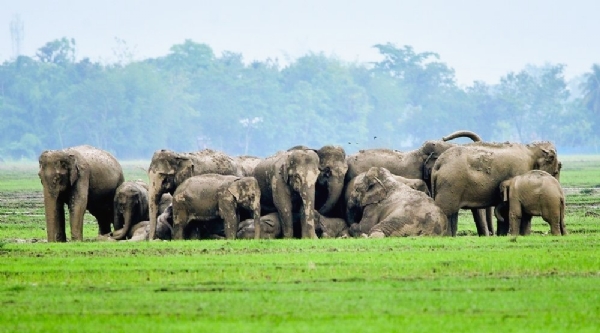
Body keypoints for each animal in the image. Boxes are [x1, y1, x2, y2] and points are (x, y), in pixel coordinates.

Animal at [428, 140, 560, 236]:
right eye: (556, 171)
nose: (492, 234)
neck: (531, 149)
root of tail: (439, 163)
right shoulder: (520, 171)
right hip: (450, 184)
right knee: (445, 210)